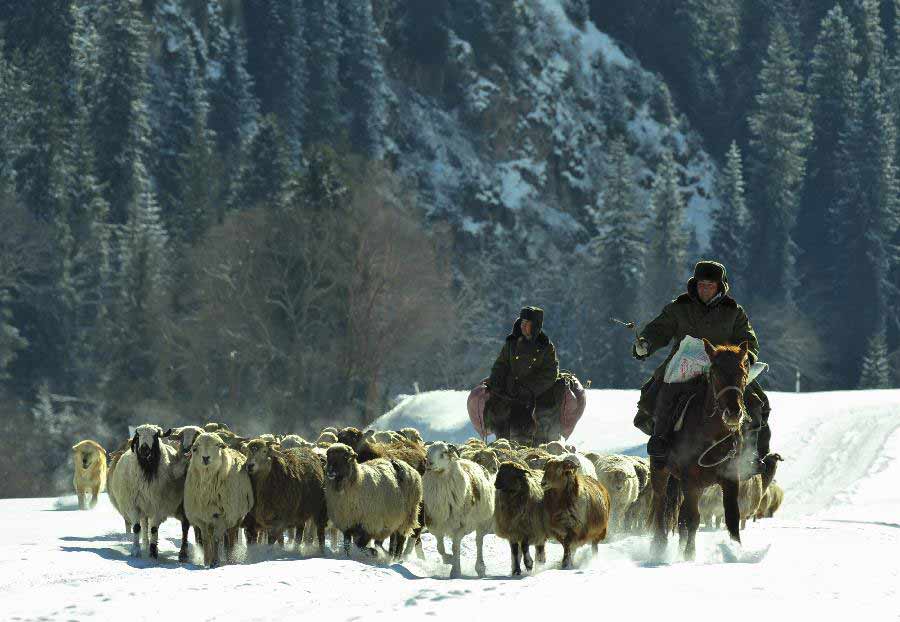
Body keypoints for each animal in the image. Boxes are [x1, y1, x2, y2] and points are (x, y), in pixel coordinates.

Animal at [110, 426, 192, 564]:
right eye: (138, 436)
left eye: (155, 436)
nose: (144, 449)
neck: (147, 471)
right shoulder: (134, 505)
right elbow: (136, 527)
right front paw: (136, 551)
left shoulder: (159, 506)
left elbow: (154, 529)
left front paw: (153, 552)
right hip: (144, 507)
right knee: (143, 525)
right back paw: (144, 544)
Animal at [183, 436, 253, 568]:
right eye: (195, 448)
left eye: (217, 445)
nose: (205, 458)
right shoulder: (202, 518)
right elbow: (206, 539)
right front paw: (207, 561)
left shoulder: (222, 516)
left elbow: (216, 539)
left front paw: (215, 562)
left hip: (235, 516)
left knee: (231, 536)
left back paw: (230, 558)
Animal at [420, 444, 492, 580]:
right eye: (428, 452)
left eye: (444, 452)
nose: (429, 464)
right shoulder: (436, 526)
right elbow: (440, 548)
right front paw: (449, 559)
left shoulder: (460, 527)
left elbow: (455, 547)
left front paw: (455, 571)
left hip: (482, 521)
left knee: (479, 542)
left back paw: (480, 568)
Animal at [652, 338, 756, 564]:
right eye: (715, 373)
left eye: (743, 372)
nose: (733, 413)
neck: (712, 435)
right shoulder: (689, 479)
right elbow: (692, 518)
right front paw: (689, 554)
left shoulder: (730, 478)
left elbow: (732, 516)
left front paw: (736, 551)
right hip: (662, 471)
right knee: (660, 504)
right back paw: (659, 547)